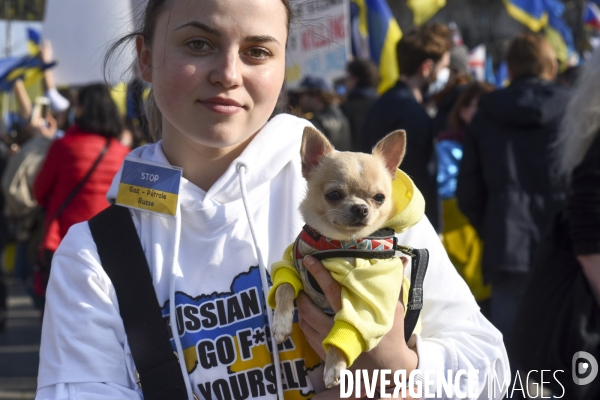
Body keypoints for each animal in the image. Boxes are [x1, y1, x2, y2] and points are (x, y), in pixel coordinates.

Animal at [270, 127, 408, 388]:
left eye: (379, 197)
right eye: (334, 194)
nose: (361, 208)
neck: (337, 243)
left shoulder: (367, 296)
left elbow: (350, 324)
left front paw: (335, 364)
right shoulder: (292, 262)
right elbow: (284, 286)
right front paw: (281, 322)